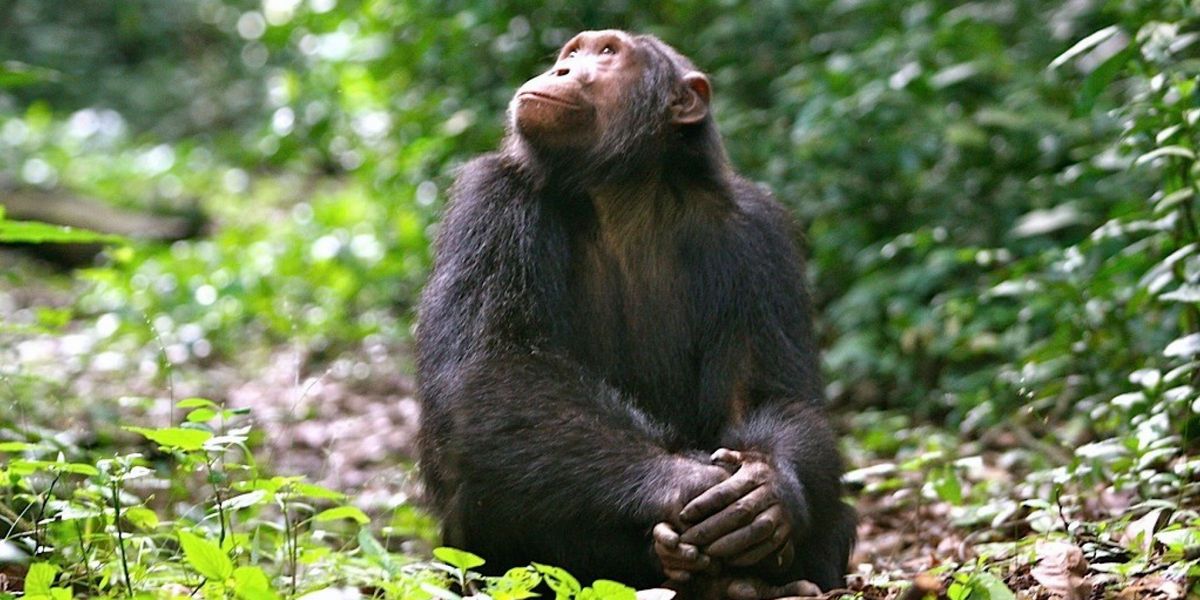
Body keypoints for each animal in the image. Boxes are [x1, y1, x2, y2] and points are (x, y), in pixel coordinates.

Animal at [417, 30, 859, 597]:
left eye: (607, 54)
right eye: (572, 54)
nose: (561, 71)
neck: (623, 190)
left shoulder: (759, 234)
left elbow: (770, 396)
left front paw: (769, 490)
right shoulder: (490, 203)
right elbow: (496, 365)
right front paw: (684, 482)